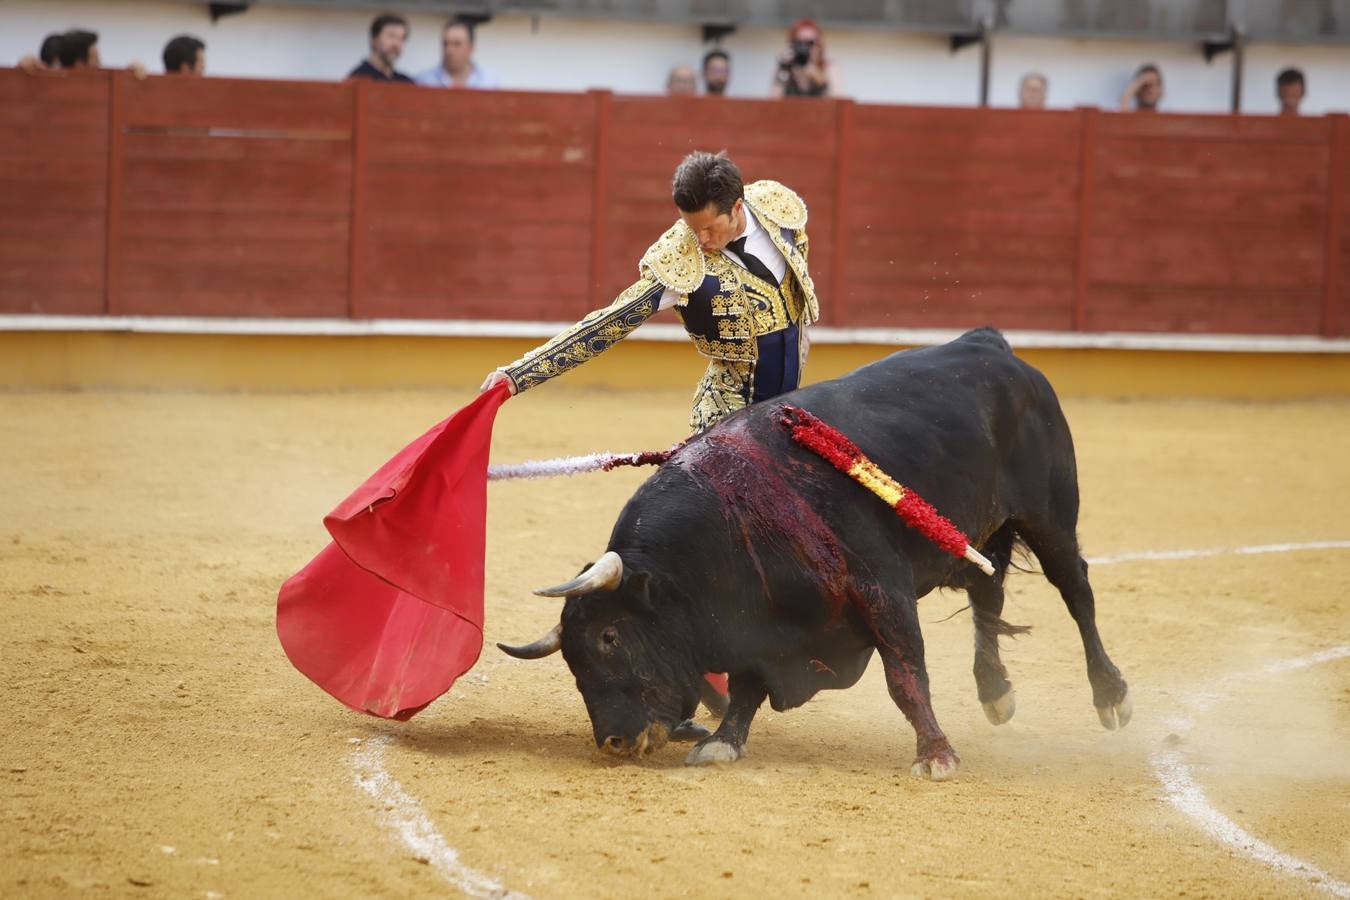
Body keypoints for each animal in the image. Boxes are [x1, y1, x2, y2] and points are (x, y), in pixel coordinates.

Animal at [496, 327, 1128, 777]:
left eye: (610, 636)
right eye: (571, 657)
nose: (615, 742)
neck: (736, 516)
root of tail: (989, 343)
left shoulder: (882, 590)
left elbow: (905, 675)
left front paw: (936, 754)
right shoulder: (759, 623)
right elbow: (746, 685)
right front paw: (722, 743)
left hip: (1049, 516)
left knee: (1077, 592)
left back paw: (1111, 695)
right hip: (973, 533)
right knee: (987, 590)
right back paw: (996, 693)